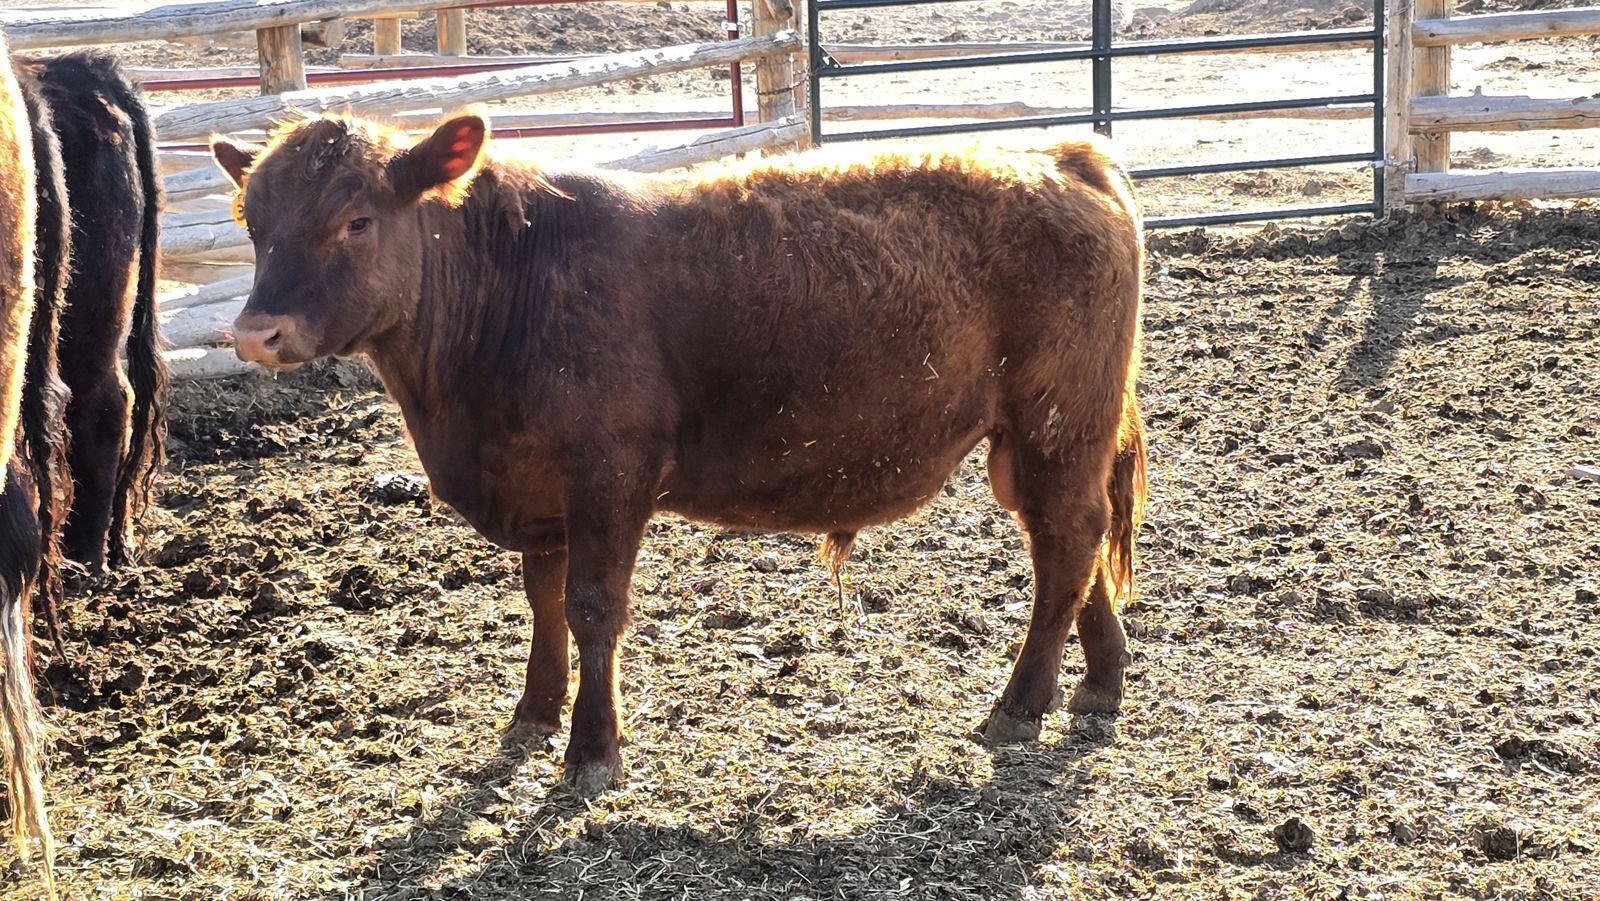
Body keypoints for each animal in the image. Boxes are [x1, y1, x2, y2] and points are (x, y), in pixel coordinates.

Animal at [213, 114, 1147, 795]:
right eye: (254, 226)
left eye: (356, 220)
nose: (256, 333)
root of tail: (1062, 153)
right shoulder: (542, 487)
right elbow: (542, 598)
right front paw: (535, 708)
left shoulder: (608, 475)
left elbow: (593, 607)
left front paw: (592, 748)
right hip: (1043, 440)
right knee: (1079, 541)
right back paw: (1101, 680)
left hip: (1056, 423)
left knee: (1067, 543)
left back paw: (1021, 703)